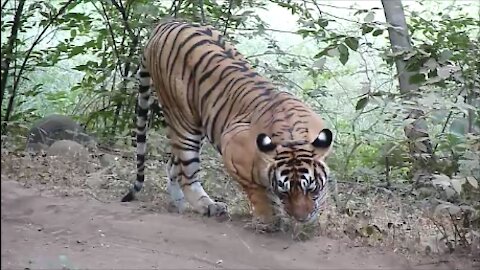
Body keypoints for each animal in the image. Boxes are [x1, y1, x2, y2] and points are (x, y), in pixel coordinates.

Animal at [122, 18, 334, 226]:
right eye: (284, 190)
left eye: (312, 189)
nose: (302, 218)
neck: (291, 137)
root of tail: (164, 24)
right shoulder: (233, 152)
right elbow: (257, 193)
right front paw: (268, 220)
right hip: (182, 119)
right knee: (187, 174)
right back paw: (208, 206)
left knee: (174, 165)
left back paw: (178, 204)